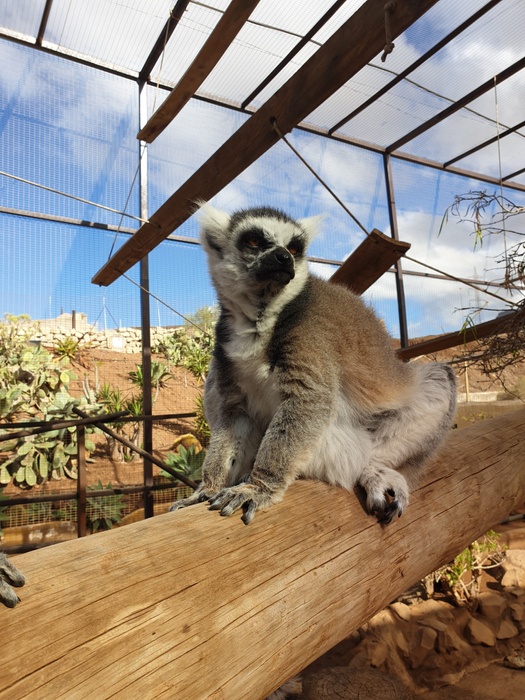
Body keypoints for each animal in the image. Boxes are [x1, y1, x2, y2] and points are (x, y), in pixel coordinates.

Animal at [171, 204, 457, 526]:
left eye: (294, 248)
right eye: (254, 241)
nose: (283, 257)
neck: (258, 319)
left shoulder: (310, 335)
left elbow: (308, 401)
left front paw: (258, 488)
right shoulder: (227, 351)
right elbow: (233, 414)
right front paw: (208, 488)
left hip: (344, 446)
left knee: (440, 378)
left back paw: (373, 470)